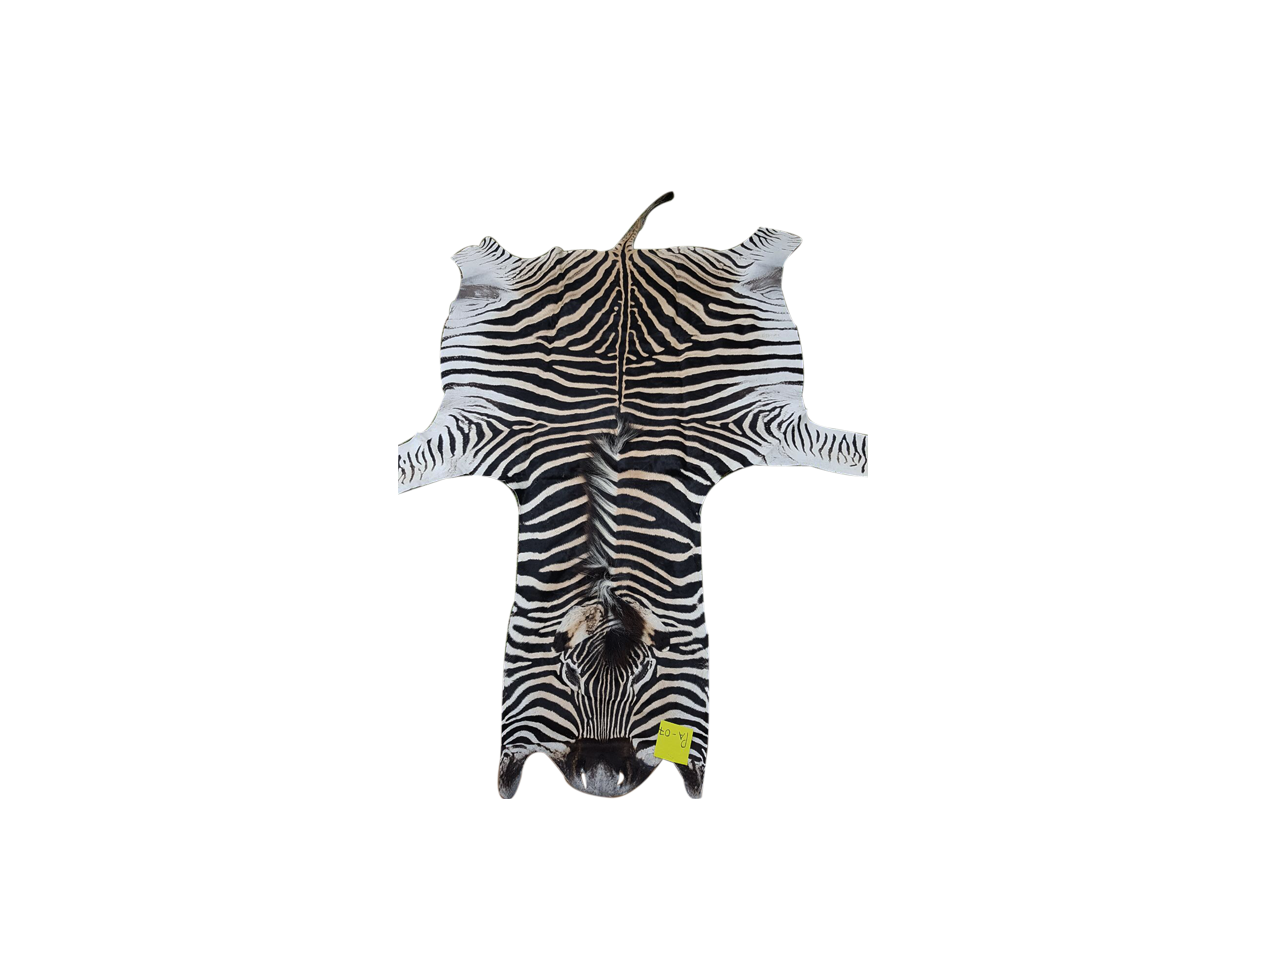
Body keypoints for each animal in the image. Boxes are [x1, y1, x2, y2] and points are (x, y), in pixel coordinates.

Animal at [397, 192, 868, 799]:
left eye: (650, 670)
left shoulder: (764, 426)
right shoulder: (479, 434)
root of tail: (622, 254)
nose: (601, 780)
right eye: (566, 670)